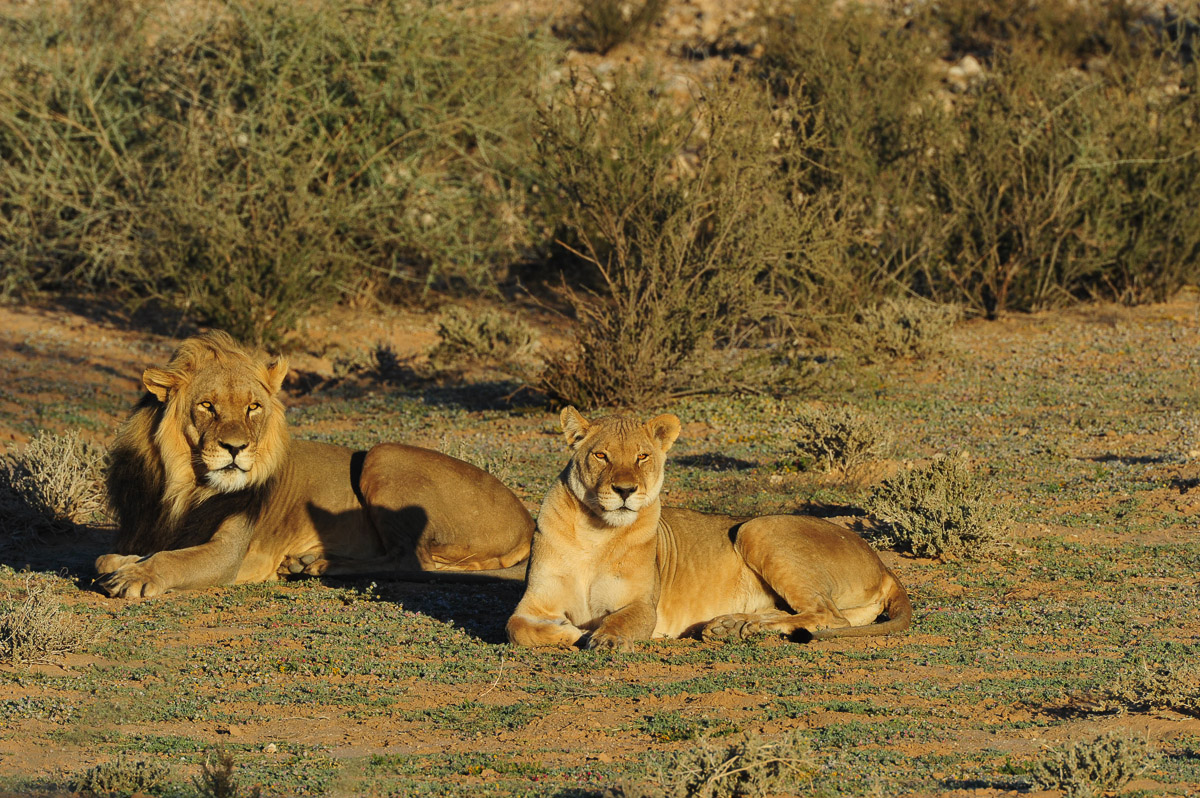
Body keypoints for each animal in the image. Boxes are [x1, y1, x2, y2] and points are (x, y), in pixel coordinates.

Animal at [96, 331, 535, 598]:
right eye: (207, 406)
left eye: (253, 408)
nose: (236, 448)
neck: (185, 484)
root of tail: (527, 522)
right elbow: (125, 554)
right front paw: (120, 564)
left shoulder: (228, 555)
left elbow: (173, 559)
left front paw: (136, 576)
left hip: (383, 455)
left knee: (412, 561)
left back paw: (317, 562)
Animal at [506, 407, 911, 650]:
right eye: (601, 455)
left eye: (642, 456)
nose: (624, 490)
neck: (596, 533)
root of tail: (882, 564)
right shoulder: (533, 602)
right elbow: (516, 628)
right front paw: (570, 631)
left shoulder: (642, 605)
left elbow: (620, 622)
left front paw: (598, 637)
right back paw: (728, 626)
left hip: (756, 529)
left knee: (827, 614)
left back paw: (740, 628)